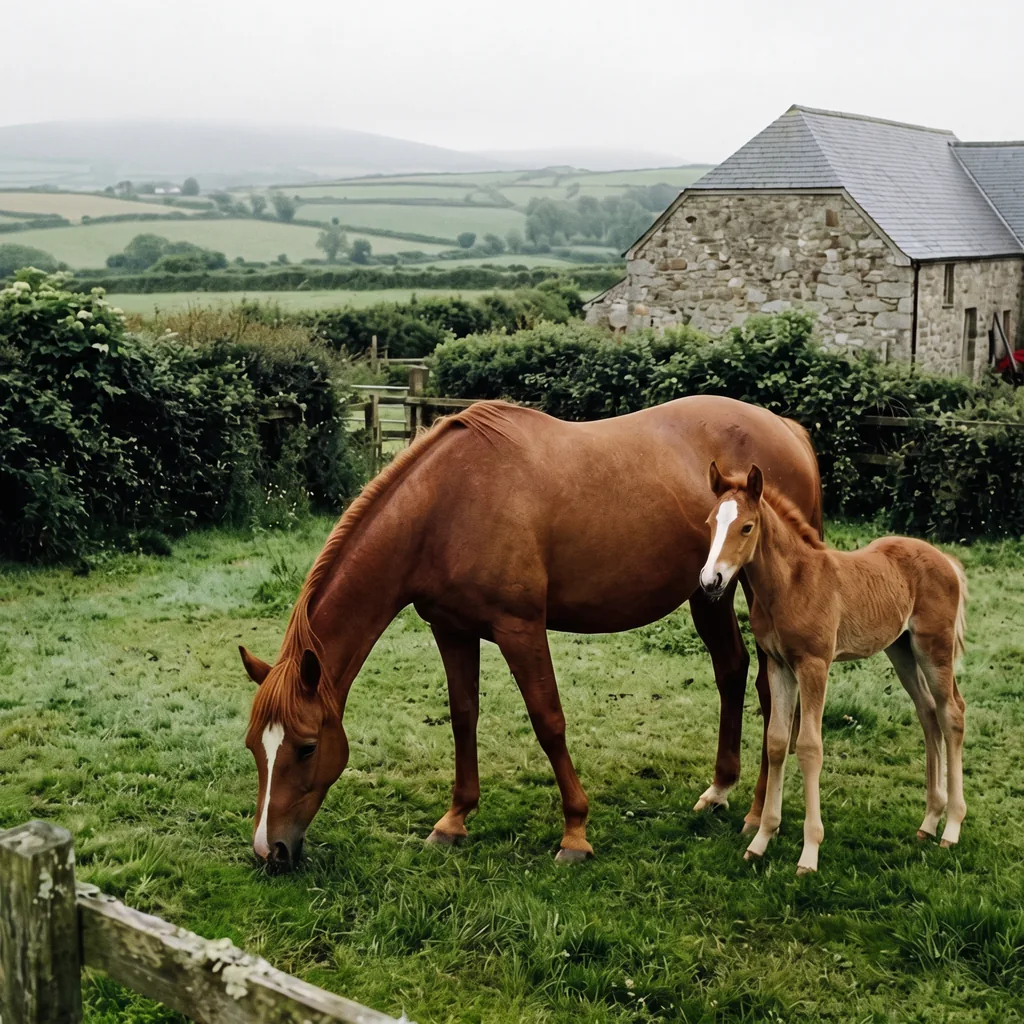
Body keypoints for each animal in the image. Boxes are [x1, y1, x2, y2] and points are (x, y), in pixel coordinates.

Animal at [240, 397, 823, 871]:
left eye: (307, 748)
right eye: (253, 746)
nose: (271, 851)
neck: (446, 504)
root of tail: (786, 428)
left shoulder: (519, 628)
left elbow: (549, 722)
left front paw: (575, 833)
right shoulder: (450, 629)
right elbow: (463, 716)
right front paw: (454, 820)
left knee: (770, 695)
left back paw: (756, 814)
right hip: (708, 591)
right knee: (732, 672)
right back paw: (719, 791)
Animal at [698, 462, 968, 875]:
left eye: (746, 526)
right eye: (711, 522)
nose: (711, 580)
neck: (791, 584)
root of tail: (945, 560)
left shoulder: (814, 665)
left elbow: (809, 746)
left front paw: (809, 853)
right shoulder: (779, 665)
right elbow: (777, 743)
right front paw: (761, 839)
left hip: (933, 648)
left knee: (951, 712)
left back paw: (951, 827)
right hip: (901, 650)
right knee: (928, 713)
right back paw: (929, 821)